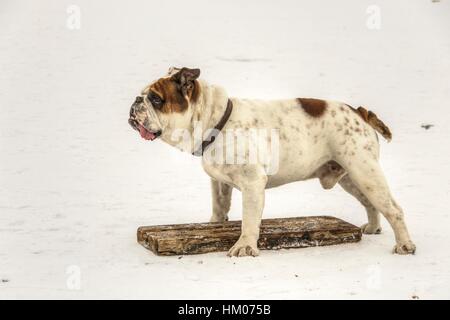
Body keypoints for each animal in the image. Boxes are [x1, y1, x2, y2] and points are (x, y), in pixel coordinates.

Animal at [126, 67, 414, 258]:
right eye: (142, 96)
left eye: (155, 99)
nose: (136, 101)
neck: (214, 121)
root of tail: (359, 112)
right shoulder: (220, 183)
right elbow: (219, 207)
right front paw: (214, 227)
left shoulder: (253, 184)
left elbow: (249, 219)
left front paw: (245, 247)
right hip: (353, 178)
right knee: (372, 203)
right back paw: (374, 227)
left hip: (364, 171)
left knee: (393, 209)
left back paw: (404, 245)